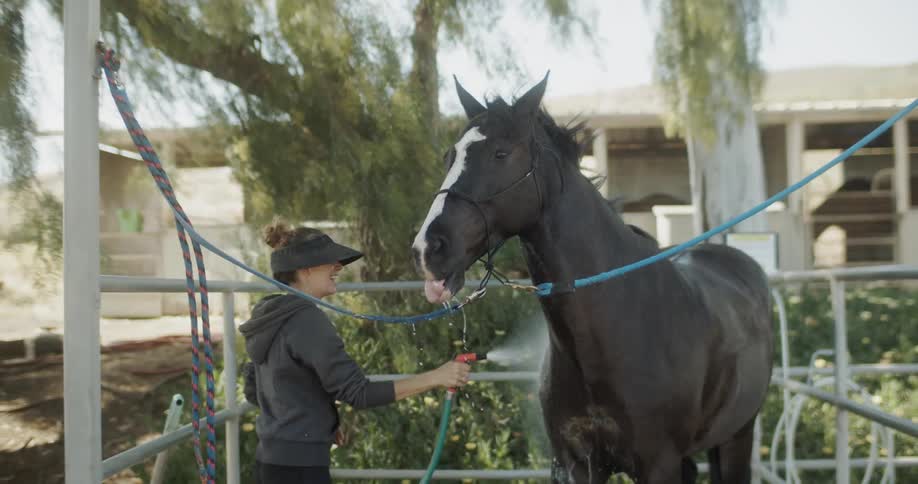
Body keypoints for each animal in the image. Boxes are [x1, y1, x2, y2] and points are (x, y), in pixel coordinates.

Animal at [411, 73, 774, 483]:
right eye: (450, 156)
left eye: (501, 154)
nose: (427, 249)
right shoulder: (577, 463)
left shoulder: (658, 463)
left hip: (737, 437)